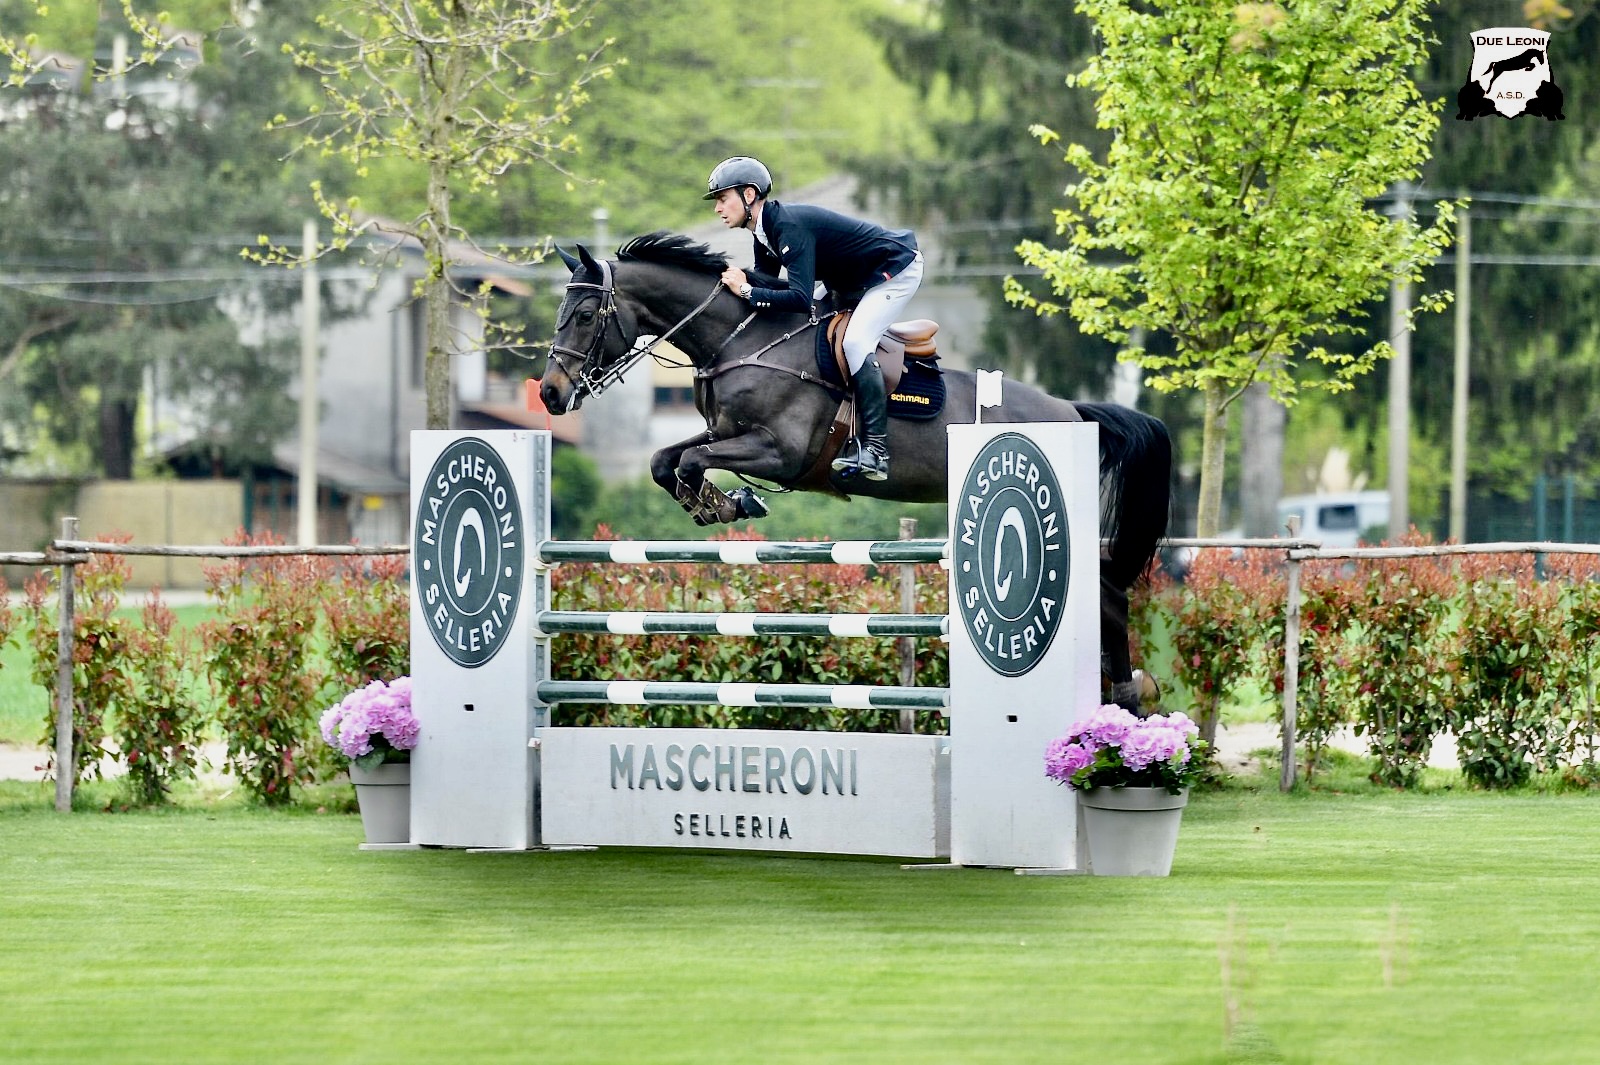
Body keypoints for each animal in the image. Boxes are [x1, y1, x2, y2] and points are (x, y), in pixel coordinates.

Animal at [540, 235, 1177, 713]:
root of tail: (1073, 411)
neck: (743, 340)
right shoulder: (726, 432)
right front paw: (713, 502)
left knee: (1107, 593)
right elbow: (665, 459)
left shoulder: (779, 452)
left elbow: (693, 462)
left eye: (585, 315)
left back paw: (1126, 701)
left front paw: (726, 503)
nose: (549, 394)